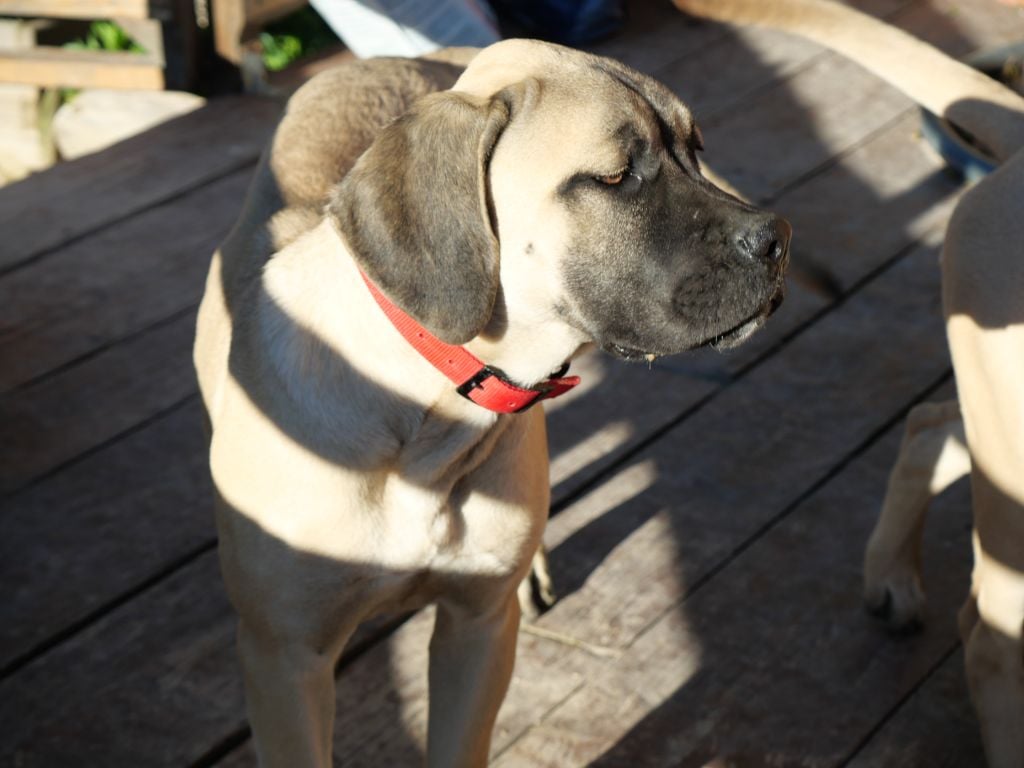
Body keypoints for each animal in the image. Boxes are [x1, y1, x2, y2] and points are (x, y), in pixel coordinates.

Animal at [193, 39, 790, 767]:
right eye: (616, 176)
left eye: (696, 149)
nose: (777, 238)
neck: (424, 421)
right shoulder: (285, 660)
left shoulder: (476, 627)